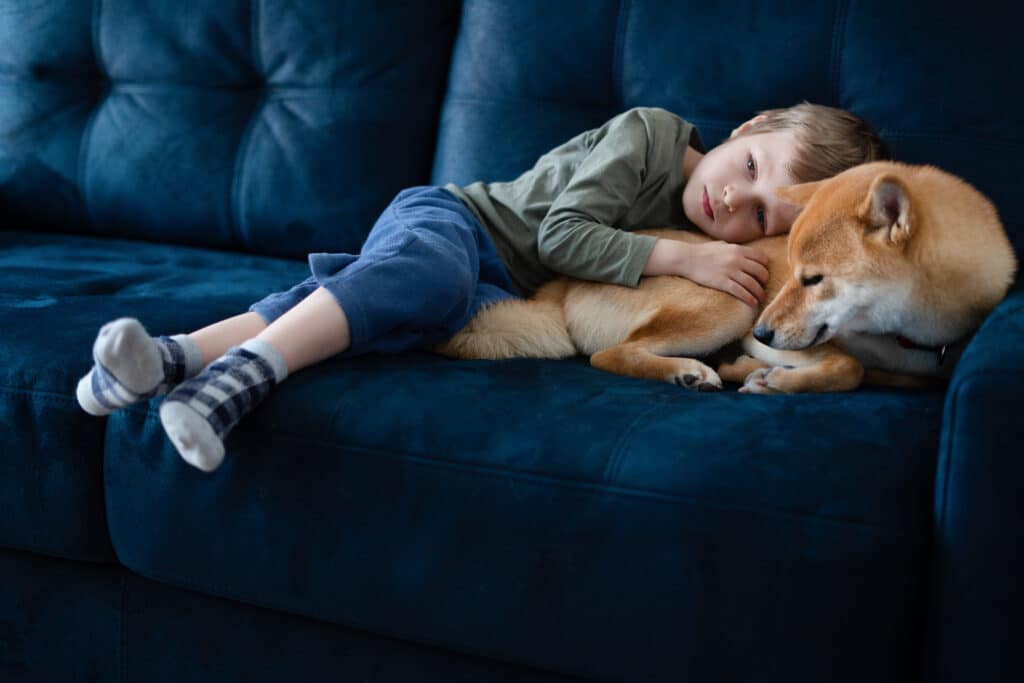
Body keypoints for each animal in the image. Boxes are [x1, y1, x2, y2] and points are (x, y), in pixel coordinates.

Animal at [432, 161, 1015, 395]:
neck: (905, 337)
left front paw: (763, 374)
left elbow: (890, 375)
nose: (761, 334)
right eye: (794, 275)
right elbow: (848, 367)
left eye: (813, 279)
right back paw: (689, 370)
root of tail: (560, 284)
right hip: (731, 304)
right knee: (610, 355)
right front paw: (776, 377)